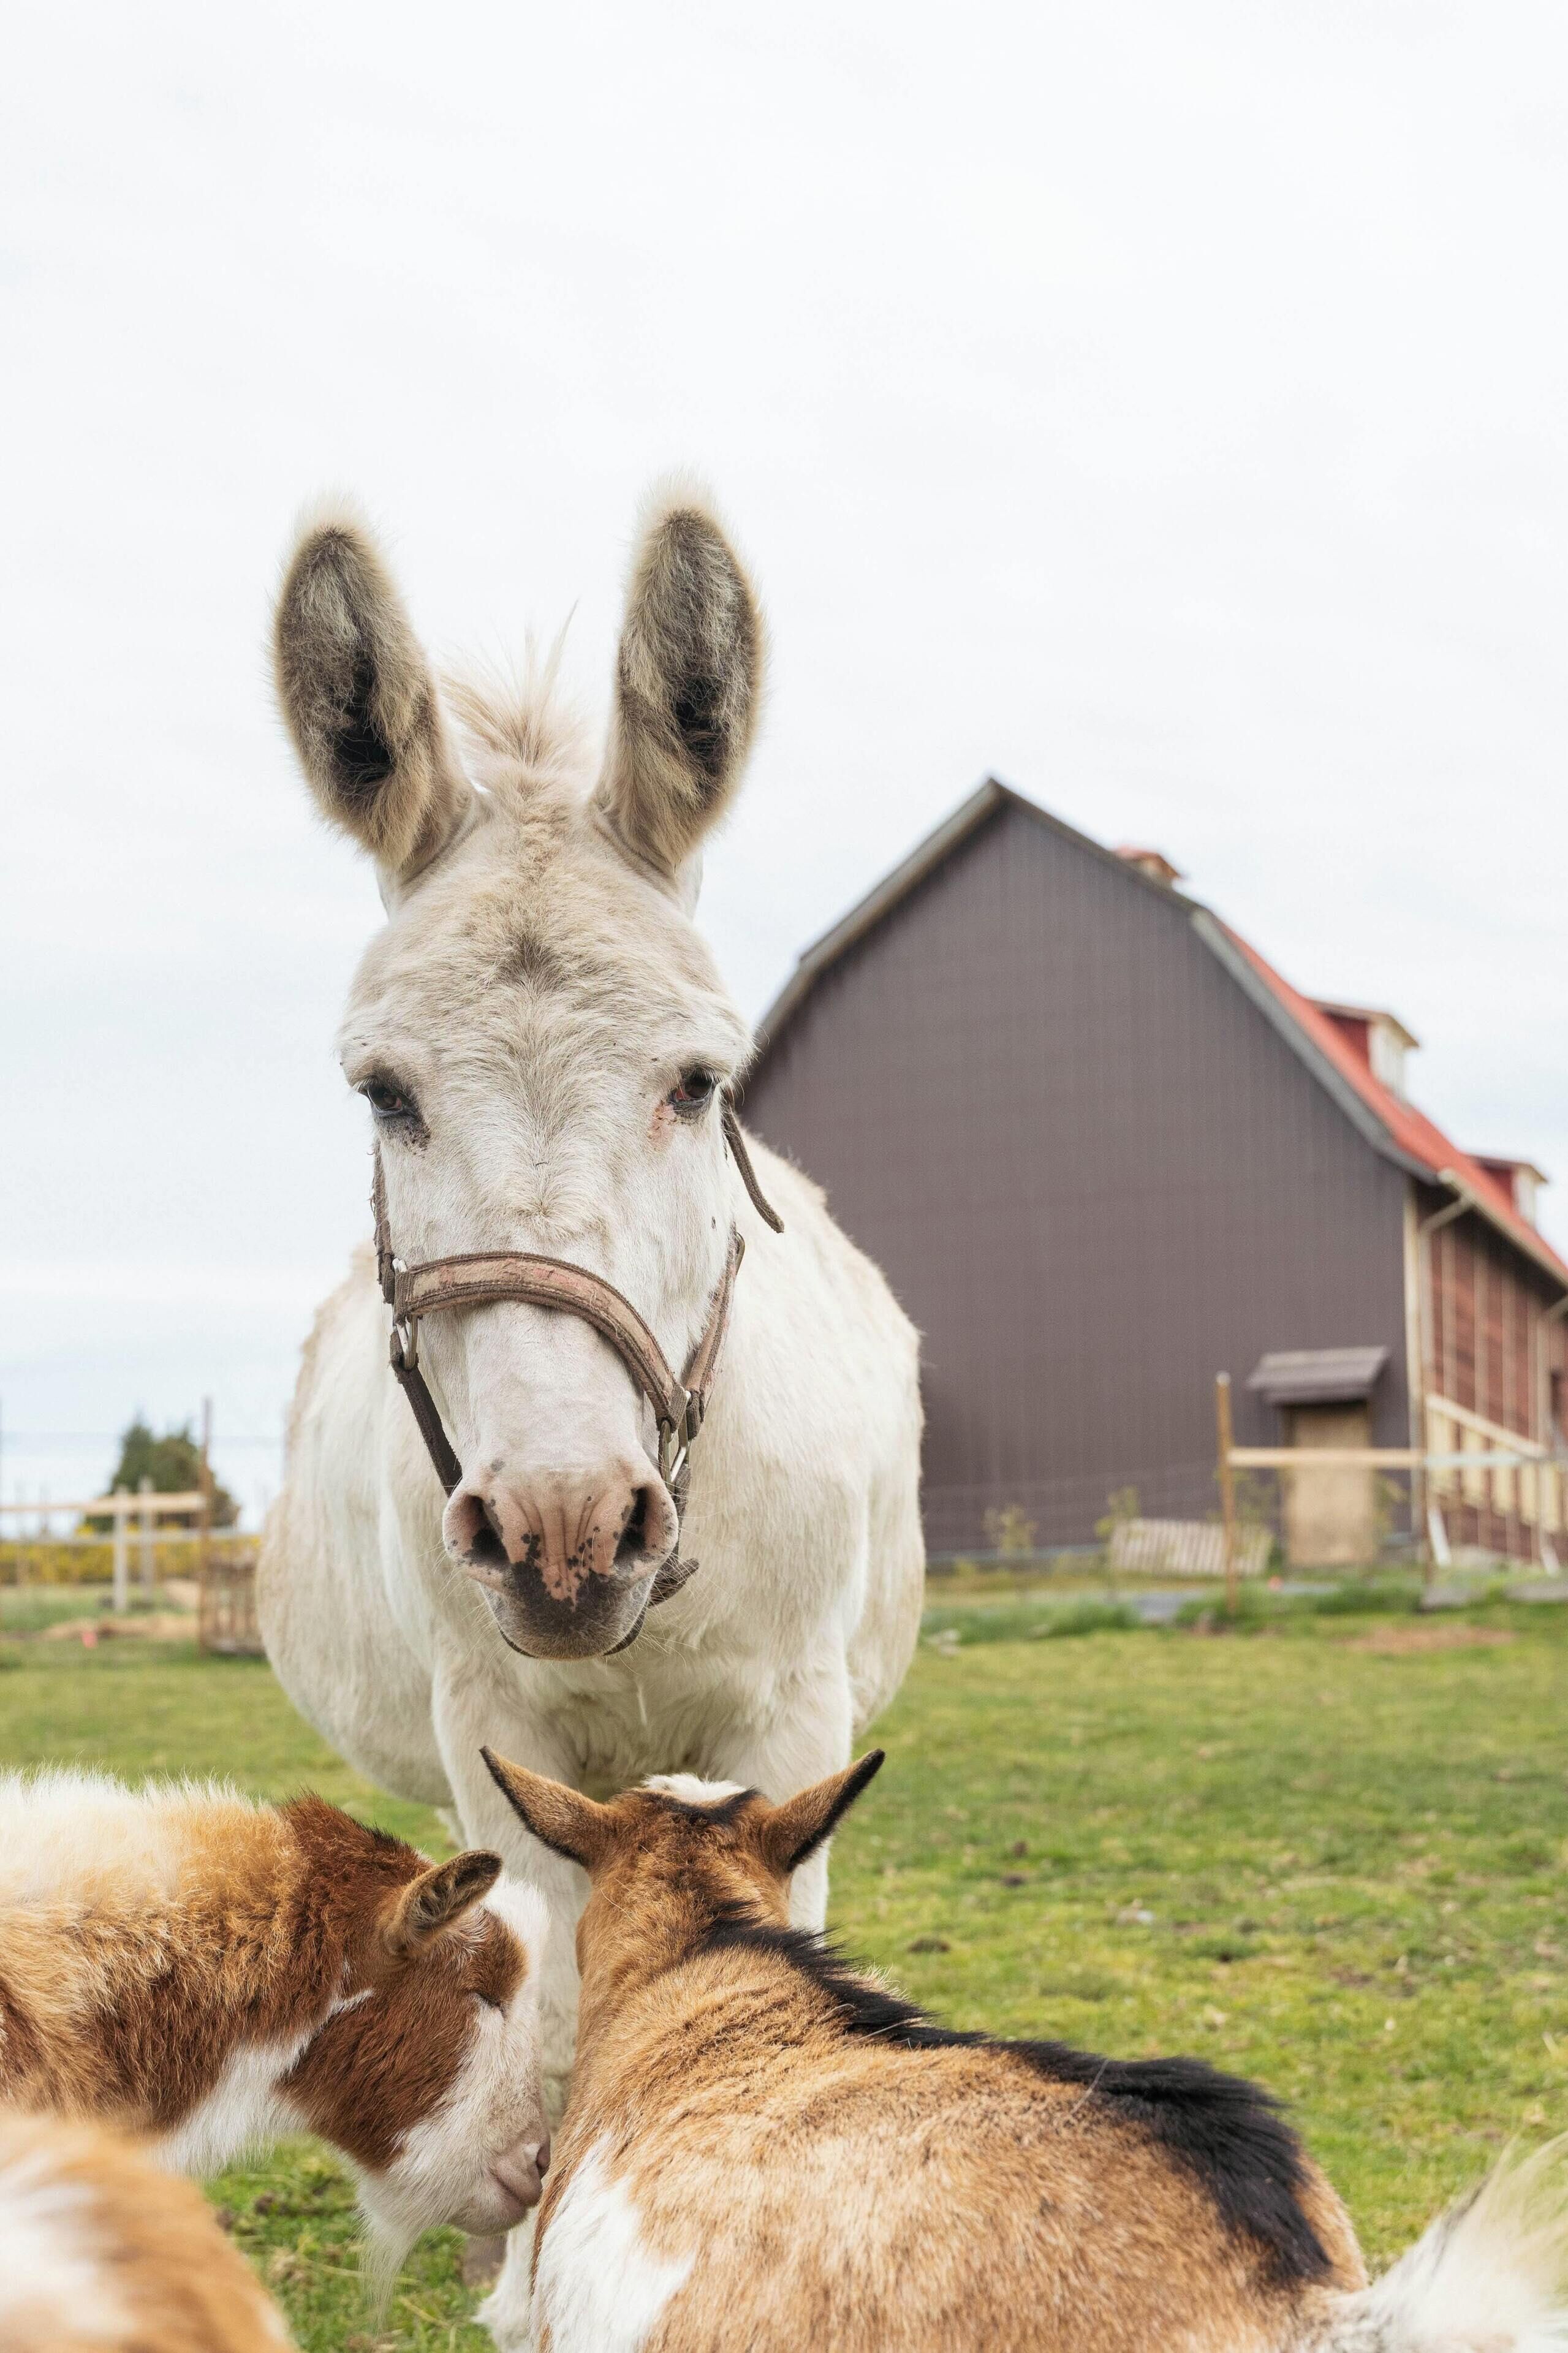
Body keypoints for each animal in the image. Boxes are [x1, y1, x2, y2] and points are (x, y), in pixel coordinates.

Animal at [258, 481, 924, 2344]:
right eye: (382, 1092)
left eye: (701, 1080)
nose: (564, 1533)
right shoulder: (494, 1737)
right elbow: (552, 2029)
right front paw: (525, 2271)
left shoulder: (788, 1728)